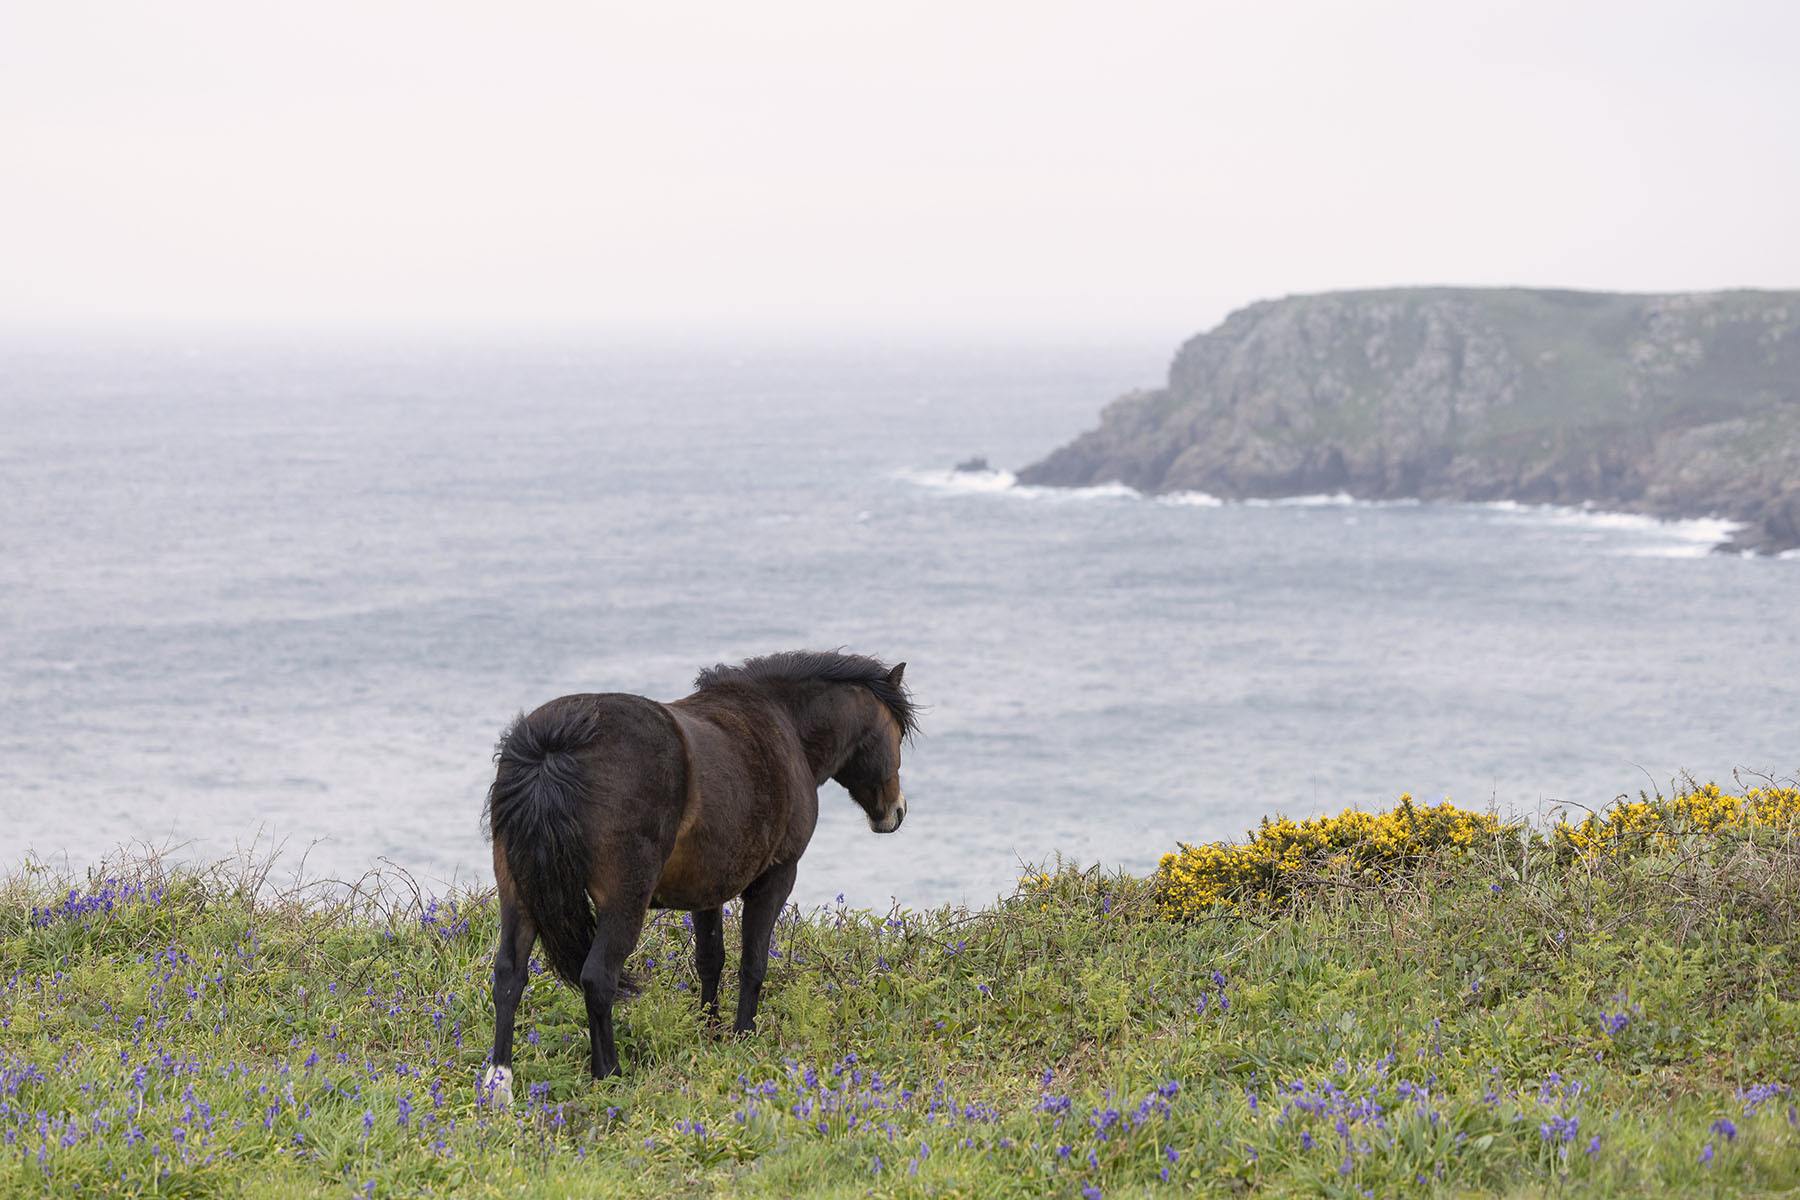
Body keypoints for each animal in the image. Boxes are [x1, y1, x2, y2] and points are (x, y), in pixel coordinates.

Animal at [478, 651, 914, 1101]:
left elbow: (710, 959)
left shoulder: (707, 889)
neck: (784, 723)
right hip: (624, 900)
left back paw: (499, 1082)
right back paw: (609, 1073)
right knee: (598, 978)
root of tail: (553, 747)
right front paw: (743, 1035)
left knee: (509, 975)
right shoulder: (777, 876)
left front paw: (709, 1029)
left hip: (519, 894)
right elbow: (753, 962)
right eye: (896, 734)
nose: (895, 811)